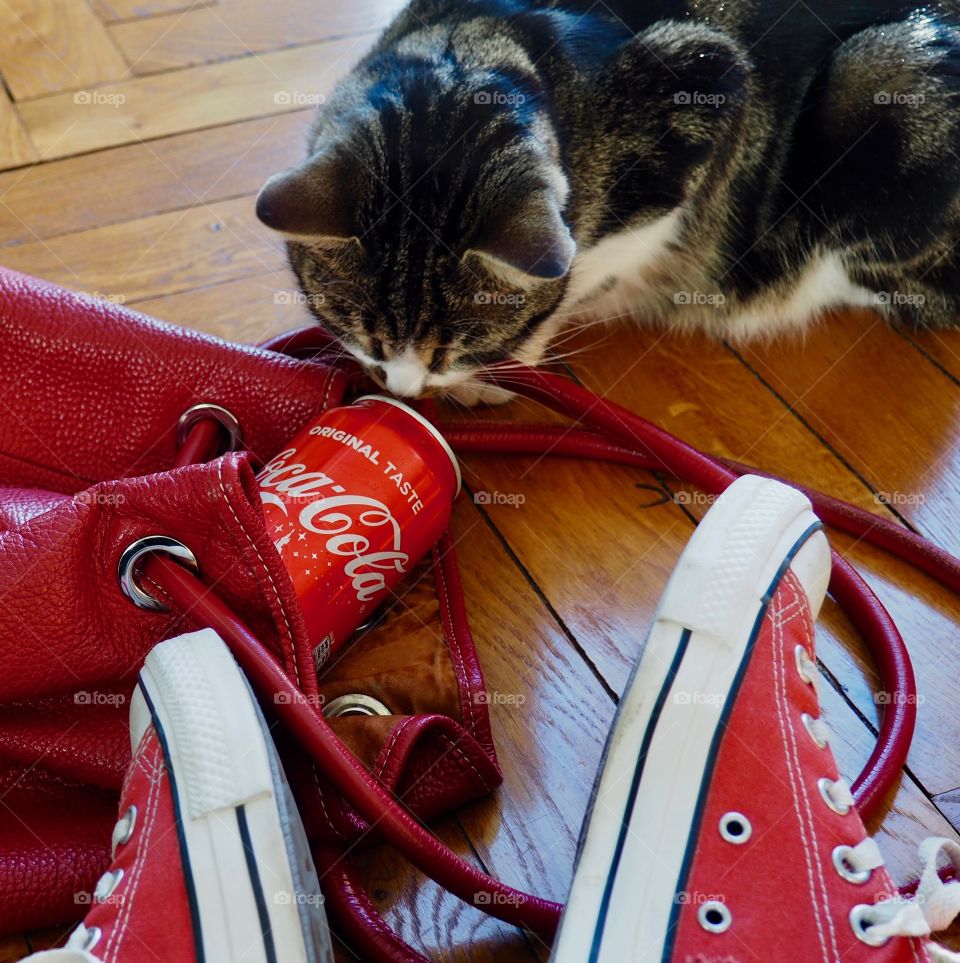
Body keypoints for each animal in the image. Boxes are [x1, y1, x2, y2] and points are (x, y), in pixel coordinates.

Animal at [253, 0, 960, 402]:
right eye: (358, 333)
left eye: (455, 348)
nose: (403, 391)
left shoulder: (707, 87)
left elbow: (590, 268)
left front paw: (493, 374)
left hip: (883, 73)